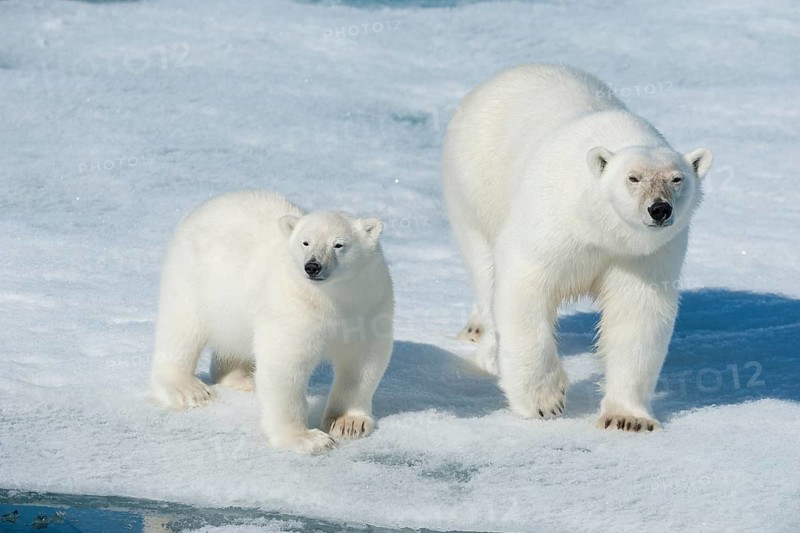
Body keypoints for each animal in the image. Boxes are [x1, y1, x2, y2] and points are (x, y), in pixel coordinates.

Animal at [148, 191, 394, 454]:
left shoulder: (370, 302)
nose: (313, 266)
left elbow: (363, 363)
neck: (332, 299)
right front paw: (308, 439)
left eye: (339, 244)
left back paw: (243, 379)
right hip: (192, 279)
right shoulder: (292, 306)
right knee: (180, 329)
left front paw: (348, 424)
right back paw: (188, 389)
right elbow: (284, 364)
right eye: (305, 242)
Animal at [442, 64, 712, 431]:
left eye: (676, 179)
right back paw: (486, 348)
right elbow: (524, 286)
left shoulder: (645, 256)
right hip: (473, 189)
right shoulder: (552, 222)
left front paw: (628, 417)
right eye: (633, 178)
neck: (602, 230)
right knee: (484, 271)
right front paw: (544, 401)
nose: (659, 209)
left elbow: (637, 314)